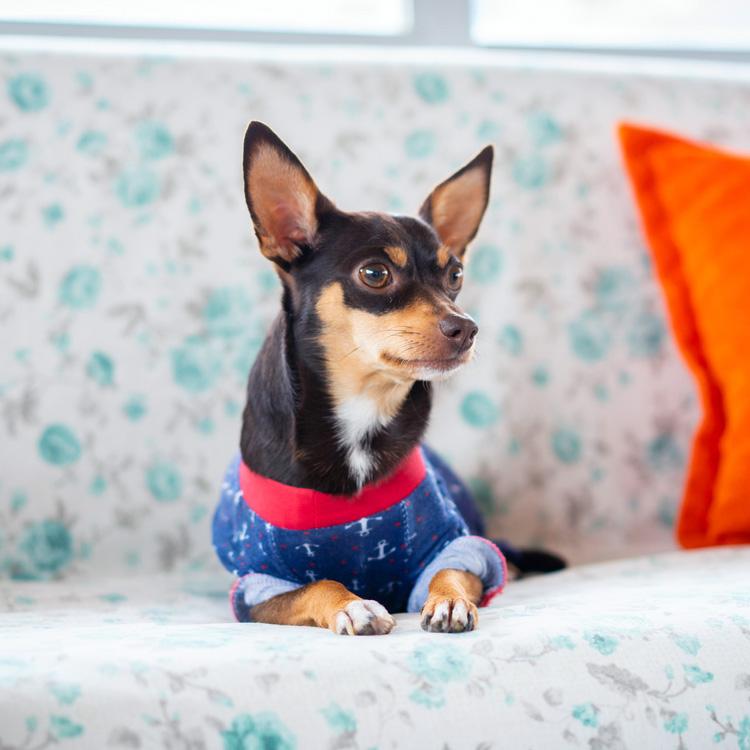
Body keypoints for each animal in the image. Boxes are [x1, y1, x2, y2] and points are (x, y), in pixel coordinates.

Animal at [212, 122, 552, 636]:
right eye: (375, 273)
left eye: (455, 274)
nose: (467, 327)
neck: (364, 407)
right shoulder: (259, 586)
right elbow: (318, 584)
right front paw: (352, 604)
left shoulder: (456, 546)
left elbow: (450, 573)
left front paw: (449, 602)